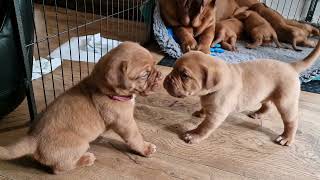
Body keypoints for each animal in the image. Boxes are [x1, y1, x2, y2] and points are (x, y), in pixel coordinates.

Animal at [0, 41, 162, 174]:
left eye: (155, 65)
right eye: (145, 75)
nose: (160, 75)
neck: (104, 89)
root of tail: (33, 139)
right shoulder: (125, 123)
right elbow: (135, 137)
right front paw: (146, 148)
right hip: (80, 144)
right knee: (59, 168)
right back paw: (85, 159)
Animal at [165, 40, 320, 146]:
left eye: (184, 76)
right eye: (173, 69)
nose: (167, 79)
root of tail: (291, 66)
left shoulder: (217, 114)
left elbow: (204, 127)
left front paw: (194, 135)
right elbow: (204, 106)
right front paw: (201, 112)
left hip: (285, 102)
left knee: (291, 121)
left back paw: (286, 137)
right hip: (267, 93)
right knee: (267, 105)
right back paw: (257, 114)